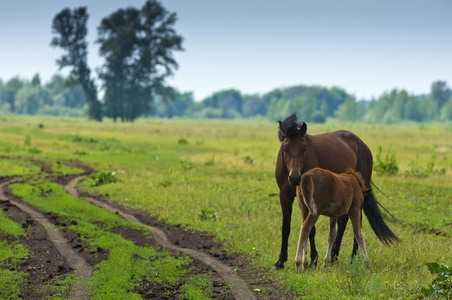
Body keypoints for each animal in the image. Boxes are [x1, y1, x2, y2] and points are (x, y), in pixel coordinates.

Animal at [274, 113, 398, 270]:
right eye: (285, 149)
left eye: (304, 148)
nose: (295, 178)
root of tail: (362, 144)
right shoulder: (284, 195)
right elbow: (286, 227)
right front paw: (280, 261)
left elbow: (312, 231)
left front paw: (313, 259)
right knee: (342, 223)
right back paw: (334, 257)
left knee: (353, 225)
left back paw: (350, 258)